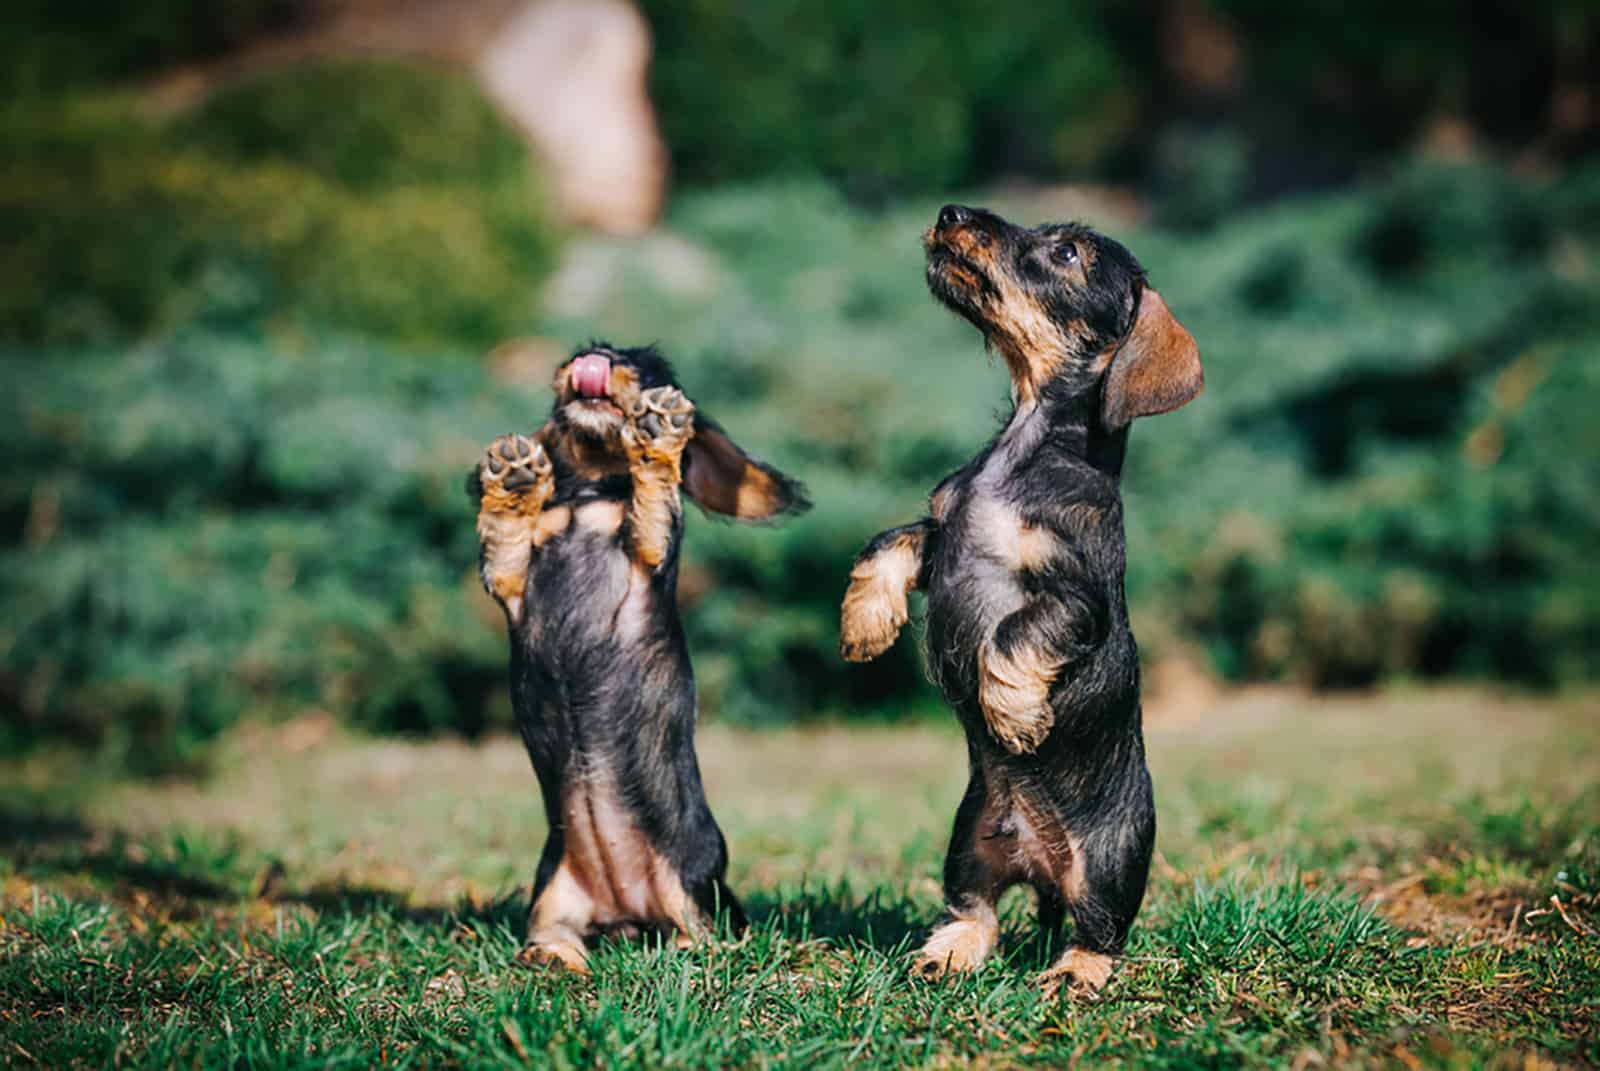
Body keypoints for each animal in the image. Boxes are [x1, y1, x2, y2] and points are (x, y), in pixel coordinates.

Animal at [467, 340, 806, 966]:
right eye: (584, 350)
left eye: (649, 371)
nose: (595, 358)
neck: (586, 498)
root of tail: (627, 914)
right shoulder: (509, 582)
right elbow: (503, 540)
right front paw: (514, 480)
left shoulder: (646, 553)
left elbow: (654, 498)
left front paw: (656, 434)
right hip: (552, 888)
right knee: (555, 932)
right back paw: (553, 958)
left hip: (693, 882)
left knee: (706, 932)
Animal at [838, 206, 1203, 992]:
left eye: (1066, 253)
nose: (951, 213)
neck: (1022, 450)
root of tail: (1041, 867)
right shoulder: (940, 537)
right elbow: (887, 543)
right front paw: (866, 622)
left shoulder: (1076, 600)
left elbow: (1013, 636)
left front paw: (1013, 716)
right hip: (968, 840)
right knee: (975, 909)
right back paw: (944, 954)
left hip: (1108, 864)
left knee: (1102, 929)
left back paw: (1074, 973)